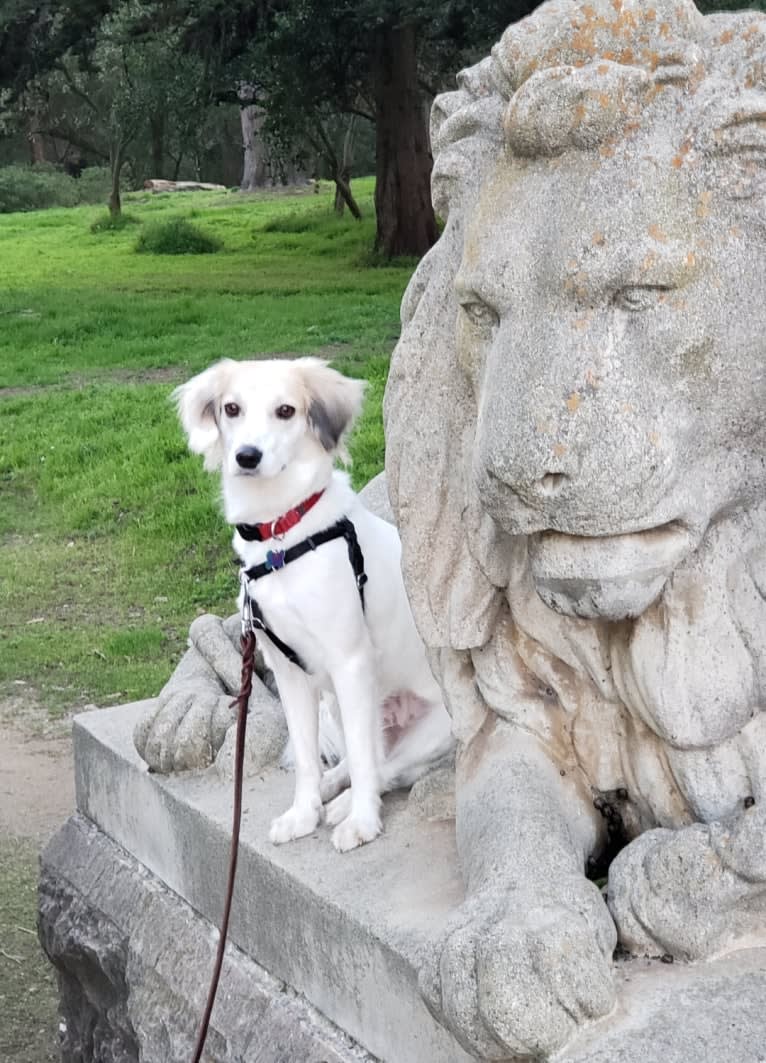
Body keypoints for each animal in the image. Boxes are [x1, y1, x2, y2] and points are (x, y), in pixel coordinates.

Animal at [175, 361, 454, 850]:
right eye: (232, 408)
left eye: (286, 410)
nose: (247, 456)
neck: (281, 536)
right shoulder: (287, 670)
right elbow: (308, 758)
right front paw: (304, 814)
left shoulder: (350, 661)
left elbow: (363, 762)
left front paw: (361, 821)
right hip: (339, 706)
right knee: (361, 761)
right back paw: (332, 790)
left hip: (430, 727)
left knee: (384, 768)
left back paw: (348, 805)